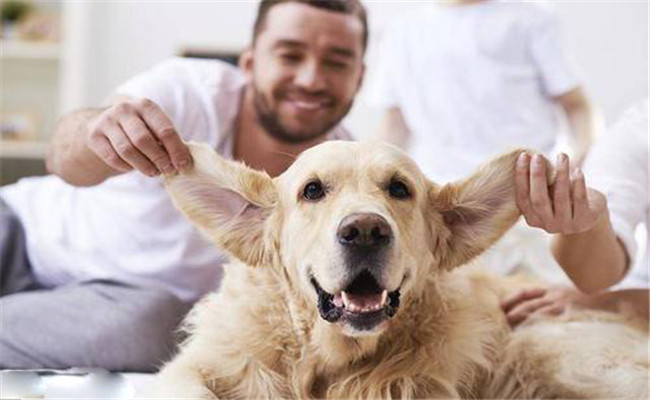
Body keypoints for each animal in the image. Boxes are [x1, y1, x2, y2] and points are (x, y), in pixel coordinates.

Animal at [151, 141, 644, 400]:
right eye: (312, 190)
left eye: (399, 189)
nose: (365, 231)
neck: (330, 360)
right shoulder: (201, 365)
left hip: (544, 348)